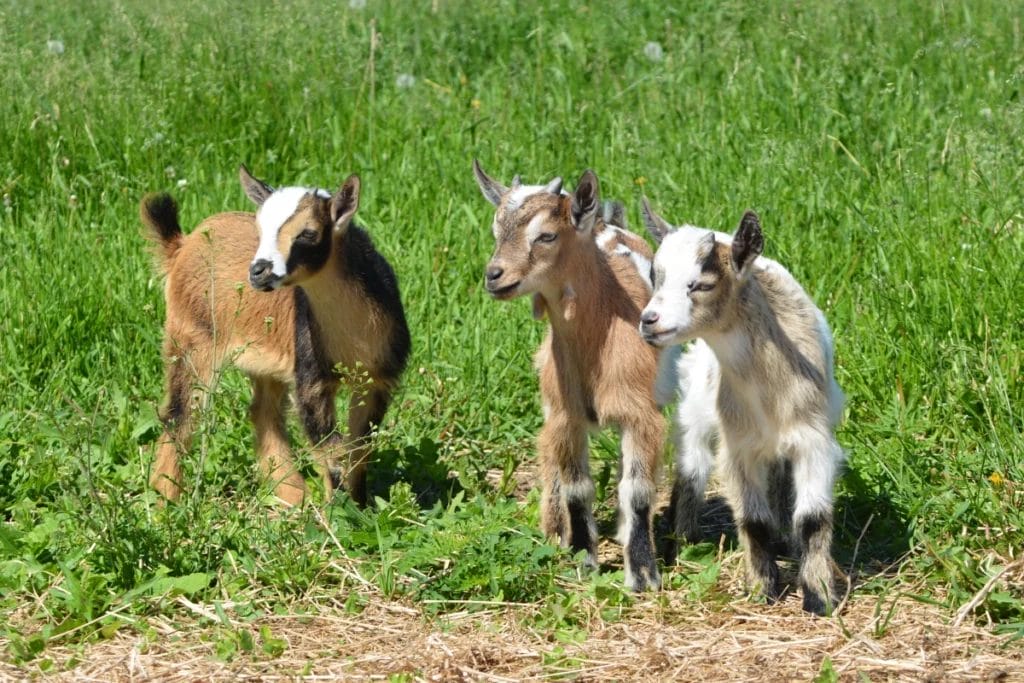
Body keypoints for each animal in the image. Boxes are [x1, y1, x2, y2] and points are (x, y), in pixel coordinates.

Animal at [142, 166, 410, 506]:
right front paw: (338, 513)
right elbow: (331, 450)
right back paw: (167, 498)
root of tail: (182, 244)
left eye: (308, 233)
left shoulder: (377, 381)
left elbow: (359, 449)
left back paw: (291, 495)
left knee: (263, 413)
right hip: (192, 336)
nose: (258, 271)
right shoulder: (311, 380)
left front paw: (360, 508)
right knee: (181, 412)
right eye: (260, 229)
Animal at [473, 160, 674, 591]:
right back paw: (553, 531)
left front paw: (643, 574)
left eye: (546, 235)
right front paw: (582, 560)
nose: (494, 275)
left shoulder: (642, 415)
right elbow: (577, 488)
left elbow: (637, 491)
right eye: (496, 232)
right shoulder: (567, 416)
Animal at [638, 200, 844, 614]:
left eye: (701, 284)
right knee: (692, 472)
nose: (649, 321)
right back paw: (683, 544)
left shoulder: (813, 440)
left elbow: (812, 519)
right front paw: (762, 589)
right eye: (656, 277)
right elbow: (753, 520)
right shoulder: (739, 446)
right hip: (695, 414)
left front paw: (820, 597)